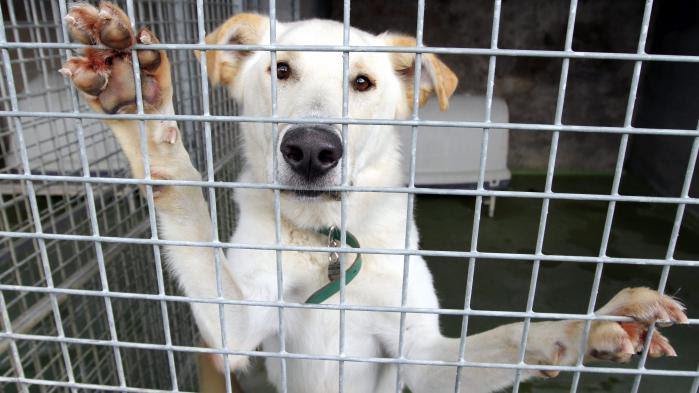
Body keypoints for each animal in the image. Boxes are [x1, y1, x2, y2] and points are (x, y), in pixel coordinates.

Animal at [61, 2, 688, 388]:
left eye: (362, 82)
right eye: (280, 71)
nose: (312, 150)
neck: (326, 240)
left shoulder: (422, 358)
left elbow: (512, 336)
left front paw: (594, 324)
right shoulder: (236, 328)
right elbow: (186, 202)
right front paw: (139, 102)